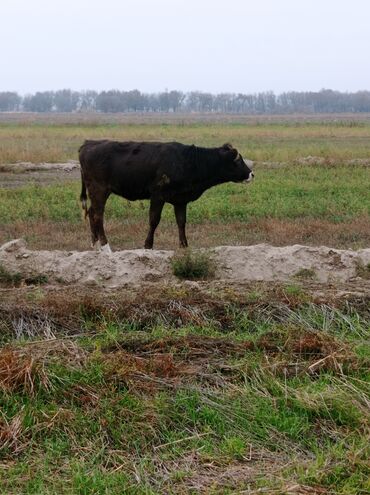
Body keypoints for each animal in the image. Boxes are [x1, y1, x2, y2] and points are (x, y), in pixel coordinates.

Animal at [79, 141, 253, 254]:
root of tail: (88, 144)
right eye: (238, 161)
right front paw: (148, 246)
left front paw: (184, 247)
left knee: (92, 213)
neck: (188, 161)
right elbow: (154, 220)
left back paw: (95, 246)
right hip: (99, 190)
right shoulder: (158, 195)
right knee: (97, 216)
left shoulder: (180, 200)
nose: (252, 174)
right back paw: (106, 248)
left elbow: (181, 222)